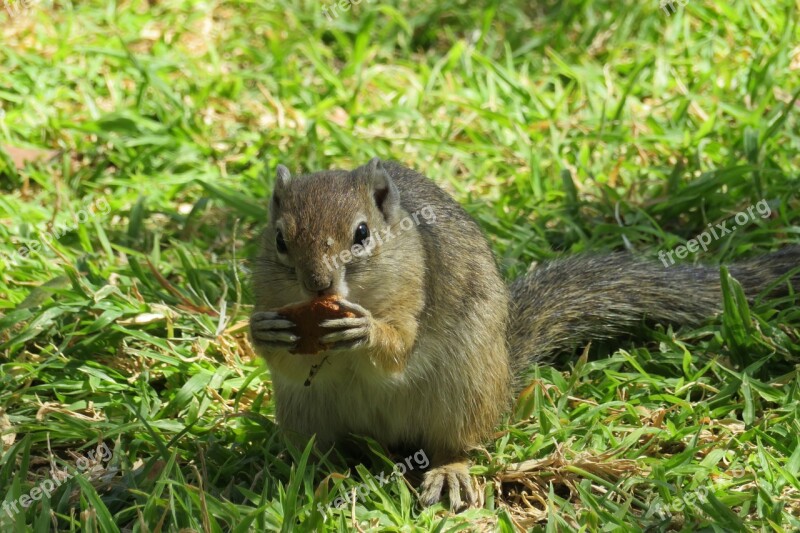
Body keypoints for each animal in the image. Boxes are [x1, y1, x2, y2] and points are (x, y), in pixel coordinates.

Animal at [252, 157, 800, 508]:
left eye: (362, 234)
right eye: (279, 239)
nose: (318, 284)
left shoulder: (418, 287)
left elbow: (400, 347)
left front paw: (366, 330)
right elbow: (281, 355)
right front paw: (265, 331)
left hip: (462, 393)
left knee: (456, 445)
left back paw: (447, 473)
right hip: (305, 412)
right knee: (320, 449)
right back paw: (316, 477)